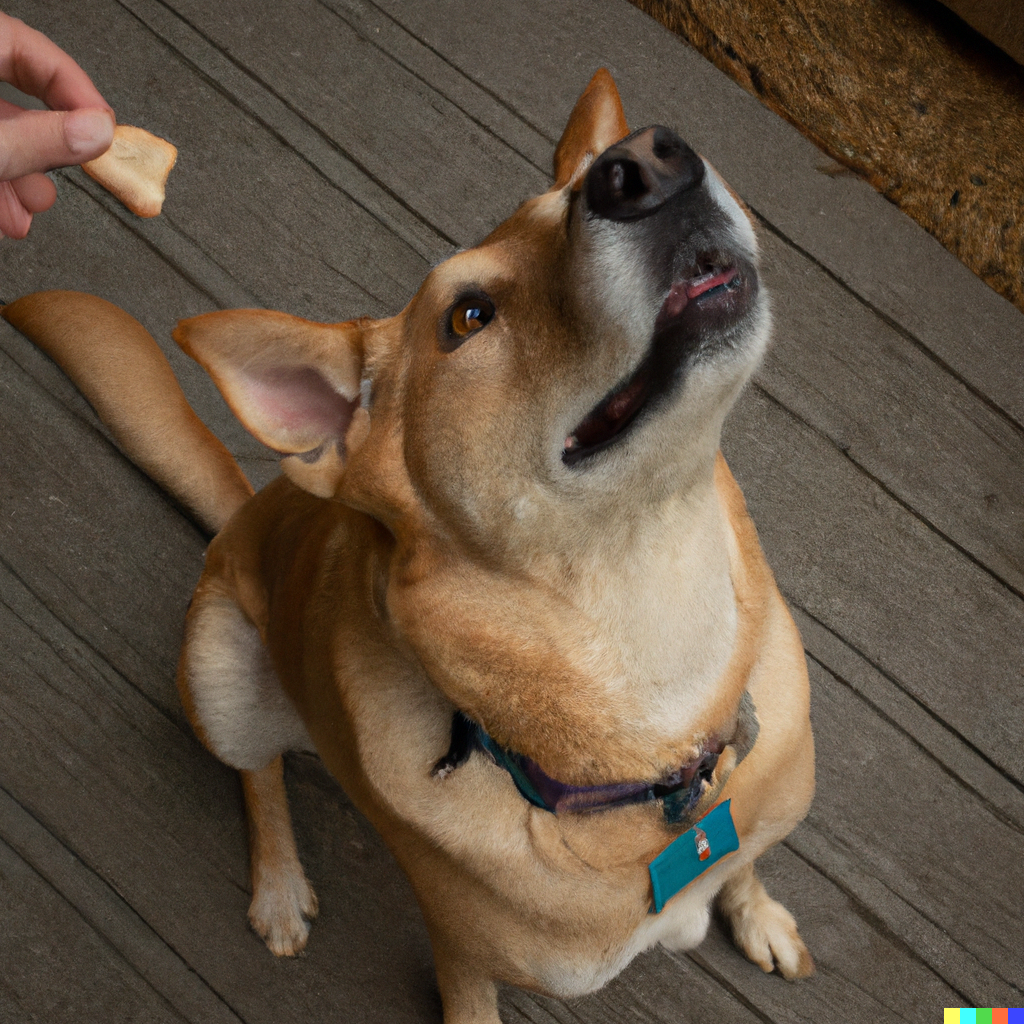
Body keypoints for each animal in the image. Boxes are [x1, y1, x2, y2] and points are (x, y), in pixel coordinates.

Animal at [4, 69, 814, 1023]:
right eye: (468, 317)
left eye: (561, 202)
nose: (645, 163)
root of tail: (252, 512)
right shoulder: (464, 960)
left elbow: (748, 863)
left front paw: (760, 913)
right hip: (217, 670)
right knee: (258, 774)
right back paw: (280, 889)